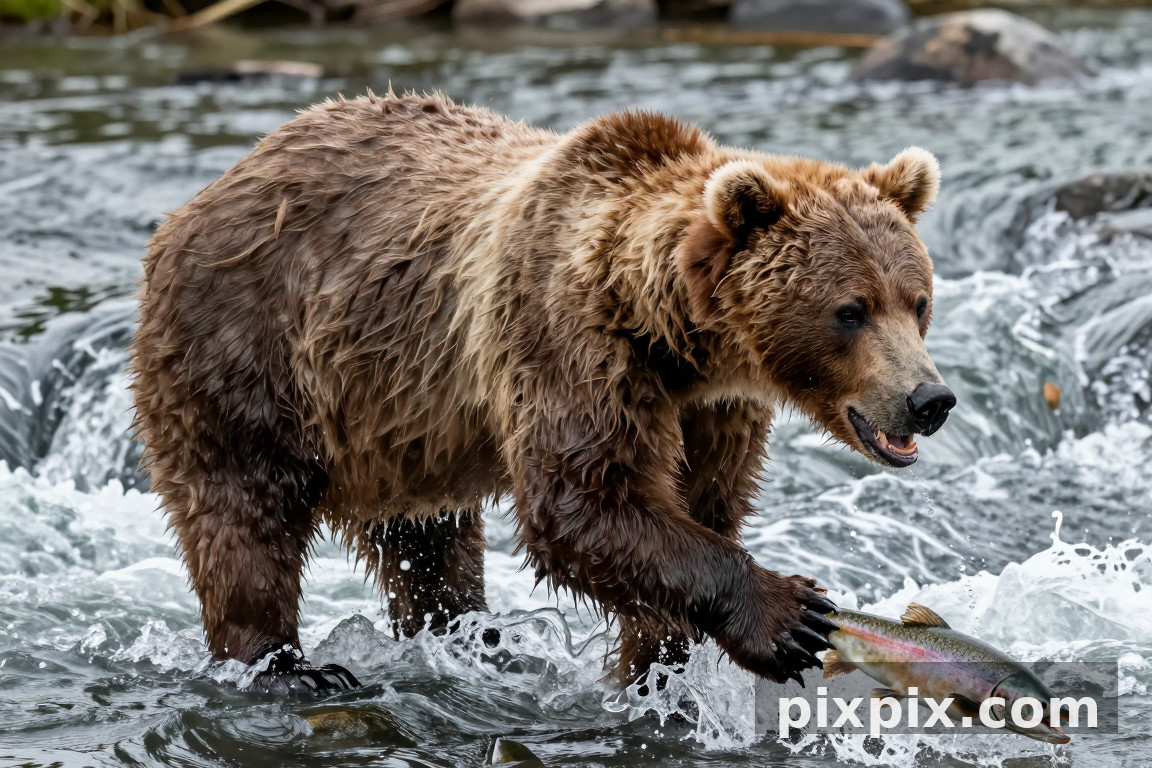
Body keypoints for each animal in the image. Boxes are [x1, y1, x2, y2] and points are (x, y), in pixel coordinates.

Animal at [130, 91, 955, 693]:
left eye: (917, 301)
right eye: (850, 310)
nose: (929, 399)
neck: (677, 339)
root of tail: (200, 197)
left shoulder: (712, 410)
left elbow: (698, 504)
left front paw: (651, 668)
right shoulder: (567, 342)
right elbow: (582, 500)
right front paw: (789, 616)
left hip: (392, 423)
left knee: (426, 545)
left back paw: (472, 640)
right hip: (247, 349)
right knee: (243, 512)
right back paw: (288, 668)